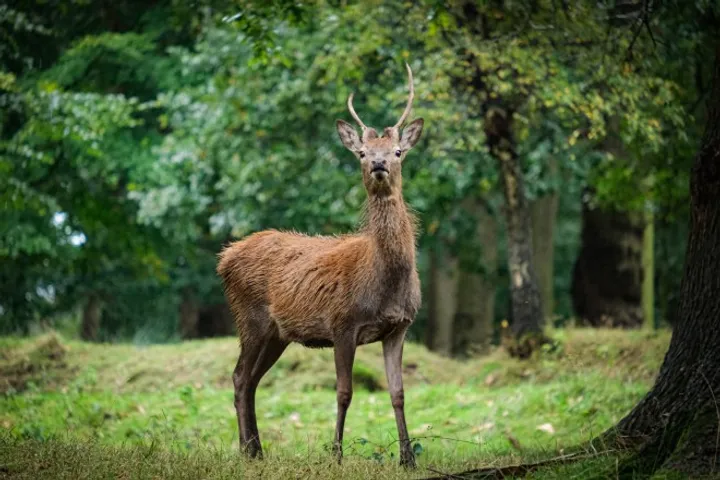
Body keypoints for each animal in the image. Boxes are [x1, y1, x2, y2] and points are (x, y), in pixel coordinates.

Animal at [217, 63, 424, 468]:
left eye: (397, 151)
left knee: (250, 380)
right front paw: (336, 454)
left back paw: (256, 450)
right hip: (249, 318)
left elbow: (398, 393)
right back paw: (248, 450)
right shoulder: (342, 324)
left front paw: (408, 459)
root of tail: (225, 256)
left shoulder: (399, 328)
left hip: (277, 334)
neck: (387, 281)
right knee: (237, 377)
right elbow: (344, 392)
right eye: (362, 153)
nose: (378, 165)